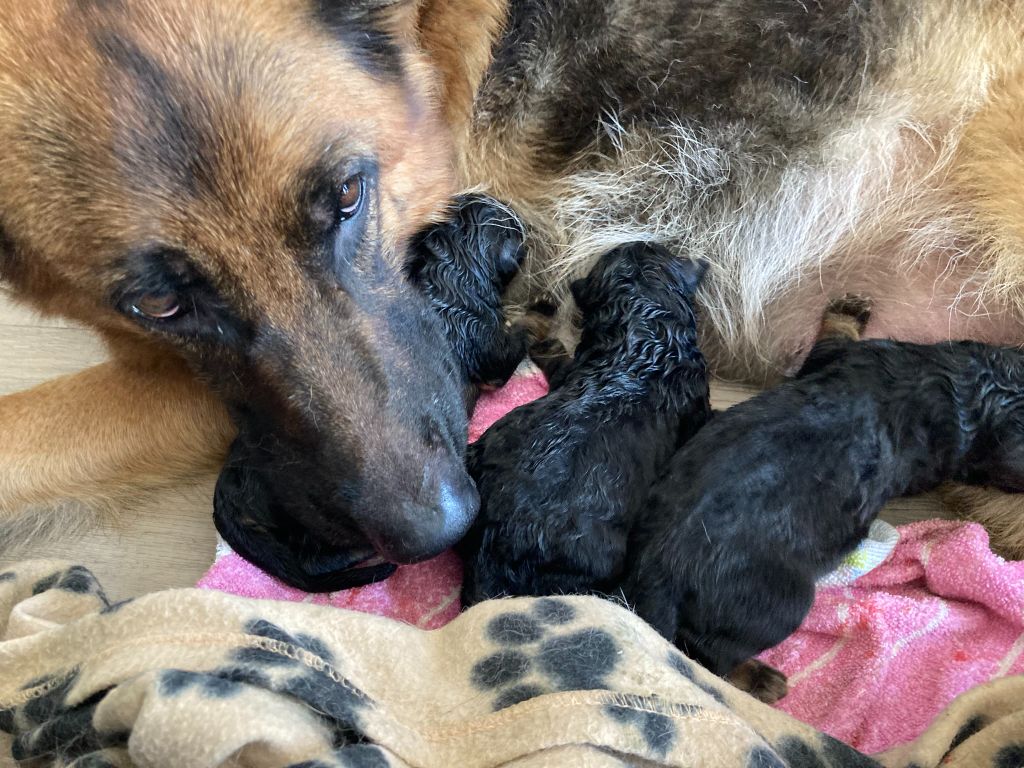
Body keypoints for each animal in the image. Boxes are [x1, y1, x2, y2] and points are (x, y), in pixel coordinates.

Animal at [217, 195, 532, 593]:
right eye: (508, 224)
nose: (520, 216)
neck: (450, 274)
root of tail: (228, 486)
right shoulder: (485, 340)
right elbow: (509, 348)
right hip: (312, 515)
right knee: (312, 556)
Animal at [462, 240, 712, 606]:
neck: (642, 332)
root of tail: (495, 536)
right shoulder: (697, 403)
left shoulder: (571, 369)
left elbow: (557, 359)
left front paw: (545, 340)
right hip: (601, 559)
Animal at [622, 307, 1024, 704]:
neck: (959, 380)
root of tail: (658, 568)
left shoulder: (843, 355)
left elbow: (832, 336)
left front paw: (848, 308)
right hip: (781, 602)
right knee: (708, 653)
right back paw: (761, 679)